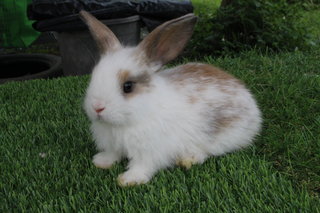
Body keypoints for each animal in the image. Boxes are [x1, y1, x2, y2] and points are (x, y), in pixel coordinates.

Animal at [79, 10, 262, 186]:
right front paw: (101, 162)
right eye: (93, 77)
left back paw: (187, 159)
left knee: (206, 152)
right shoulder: (113, 144)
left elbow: (142, 165)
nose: (97, 107)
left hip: (220, 139)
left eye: (128, 86)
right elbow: (113, 153)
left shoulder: (150, 151)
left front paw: (129, 180)